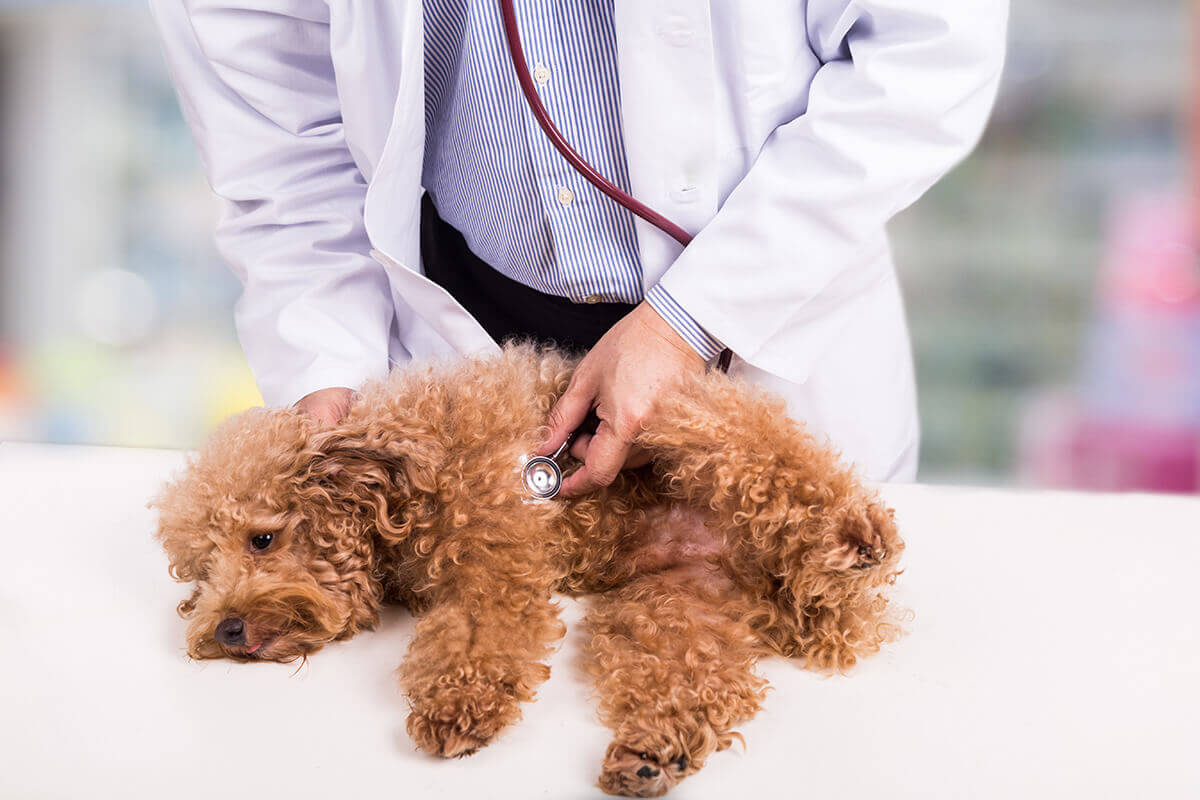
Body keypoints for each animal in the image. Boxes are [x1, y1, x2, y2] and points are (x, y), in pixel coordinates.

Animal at [154, 343, 902, 796]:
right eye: (199, 573)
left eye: (262, 538)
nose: (224, 630)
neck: (403, 492)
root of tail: (799, 595)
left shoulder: (494, 563)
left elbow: (478, 637)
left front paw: (456, 710)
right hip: (671, 606)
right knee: (699, 686)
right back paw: (651, 754)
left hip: (678, 418)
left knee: (775, 457)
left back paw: (857, 536)